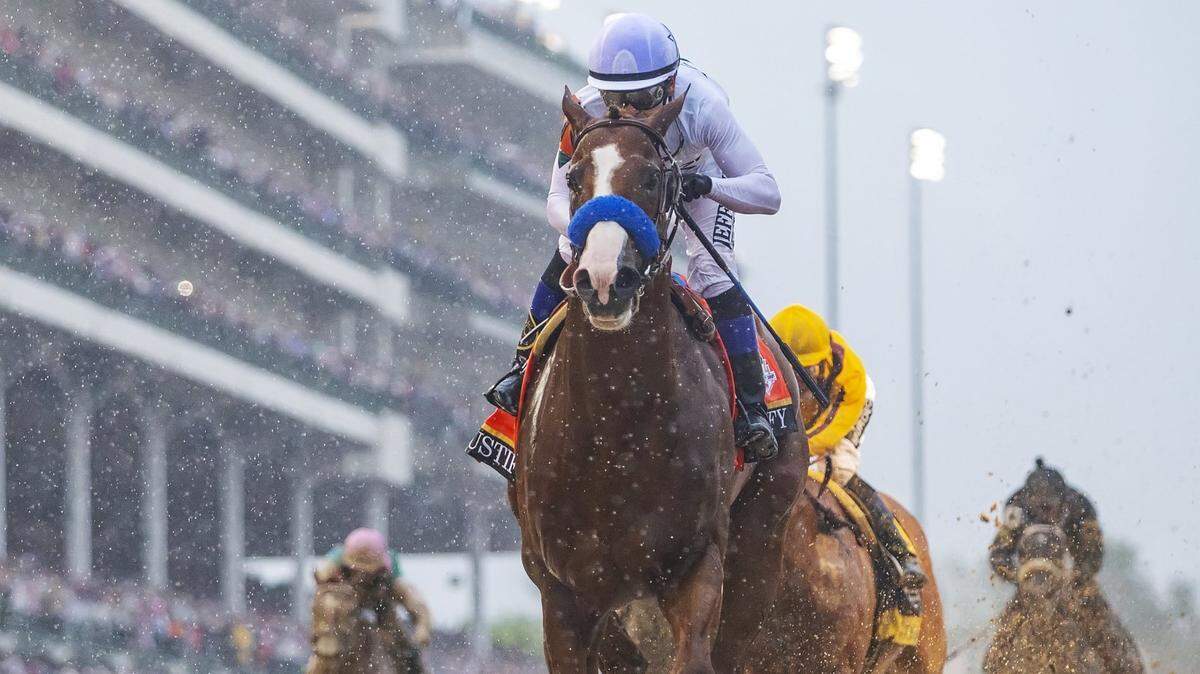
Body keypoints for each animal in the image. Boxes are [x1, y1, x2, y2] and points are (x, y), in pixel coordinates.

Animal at [510, 89, 944, 673]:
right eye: (575, 176)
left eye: (653, 178)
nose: (604, 281)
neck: (616, 424)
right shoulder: (565, 592)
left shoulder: (698, 566)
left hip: (761, 541)